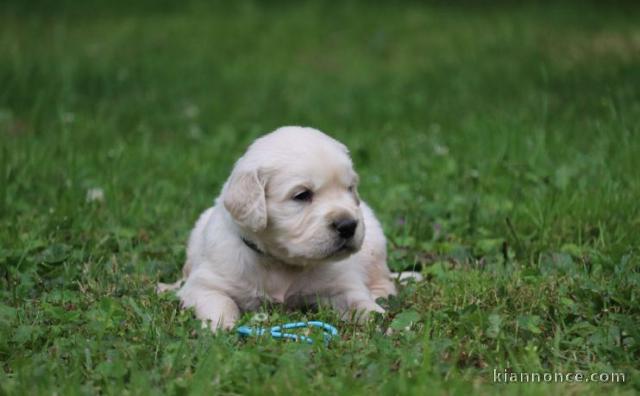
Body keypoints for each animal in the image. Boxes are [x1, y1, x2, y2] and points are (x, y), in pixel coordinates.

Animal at [158, 125, 402, 330]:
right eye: (302, 195)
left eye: (350, 188)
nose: (348, 225)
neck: (281, 262)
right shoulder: (205, 284)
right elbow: (219, 303)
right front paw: (224, 328)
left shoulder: (341, 284)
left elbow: (358, 300)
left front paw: (379, 319)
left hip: (375, 245)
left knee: (383, 279)